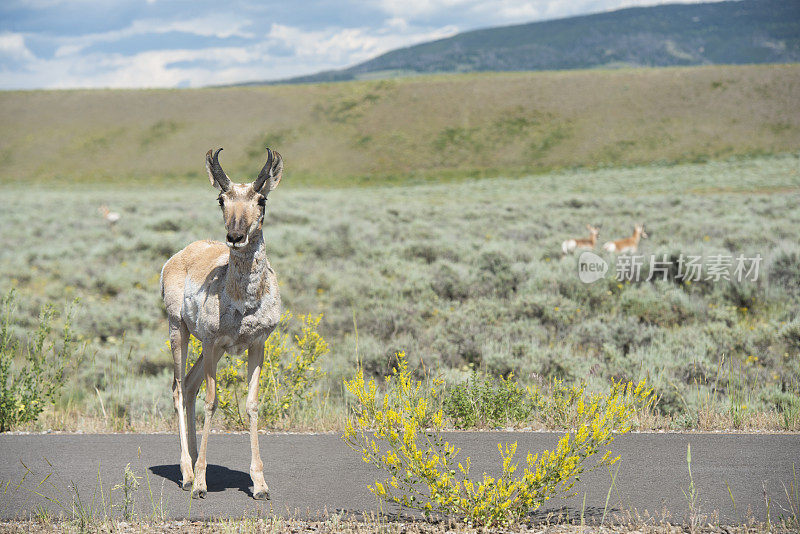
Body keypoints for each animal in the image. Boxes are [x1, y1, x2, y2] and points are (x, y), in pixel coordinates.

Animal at [159, 148, 284, 502]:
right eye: (221, 199)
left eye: (261, 199)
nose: (236, 237)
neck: (244, 302)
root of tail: (180, 255)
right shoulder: (213, 343)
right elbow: (212, 402)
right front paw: (201, 483)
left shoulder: (256, 345)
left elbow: (252, 404)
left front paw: (260, 485)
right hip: (181, 333)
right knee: (178, 388)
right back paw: (188, 475)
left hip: (205, 349)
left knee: (189, 386)